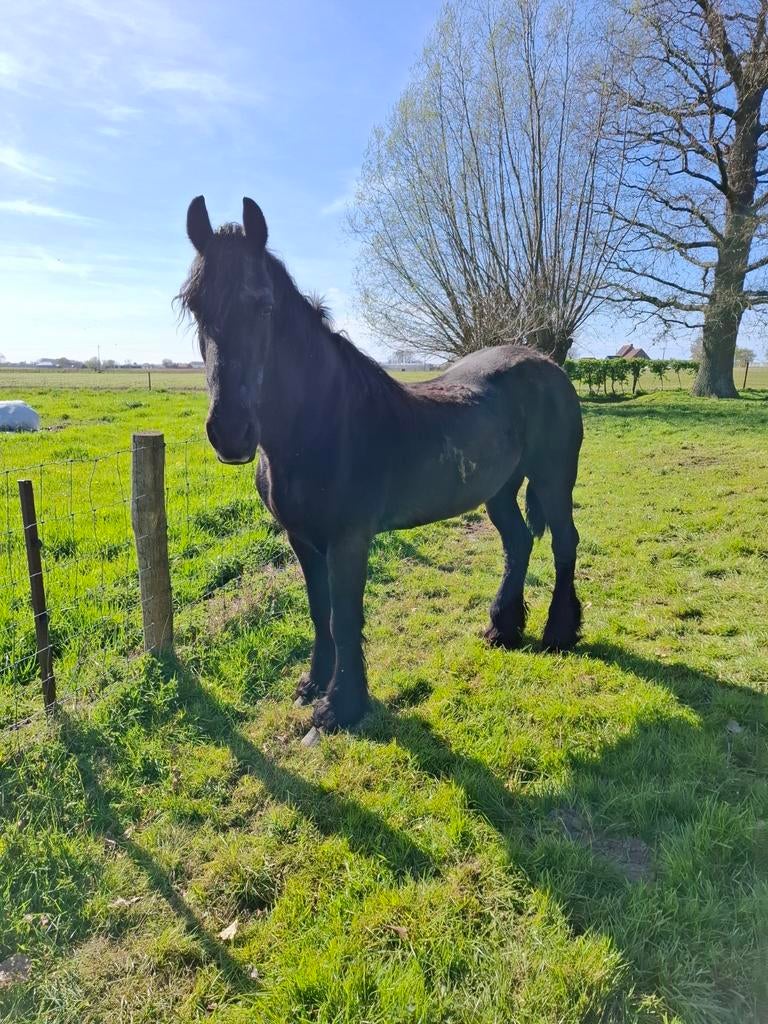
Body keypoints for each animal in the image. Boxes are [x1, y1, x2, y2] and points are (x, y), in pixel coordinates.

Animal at [178, 196, 583, 742]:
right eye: (195, 307)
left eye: (263, 305)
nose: (231, 432)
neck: (323, 425)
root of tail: (549, 366)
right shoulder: (303, 539)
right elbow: (319, 611)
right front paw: (313, 684)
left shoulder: (348, 540)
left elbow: (344, 617)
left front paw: (340, 707)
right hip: (498, 489)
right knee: (517, 543)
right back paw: (502, 628)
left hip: (553, 480)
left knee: (564, 544)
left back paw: (559, 633)